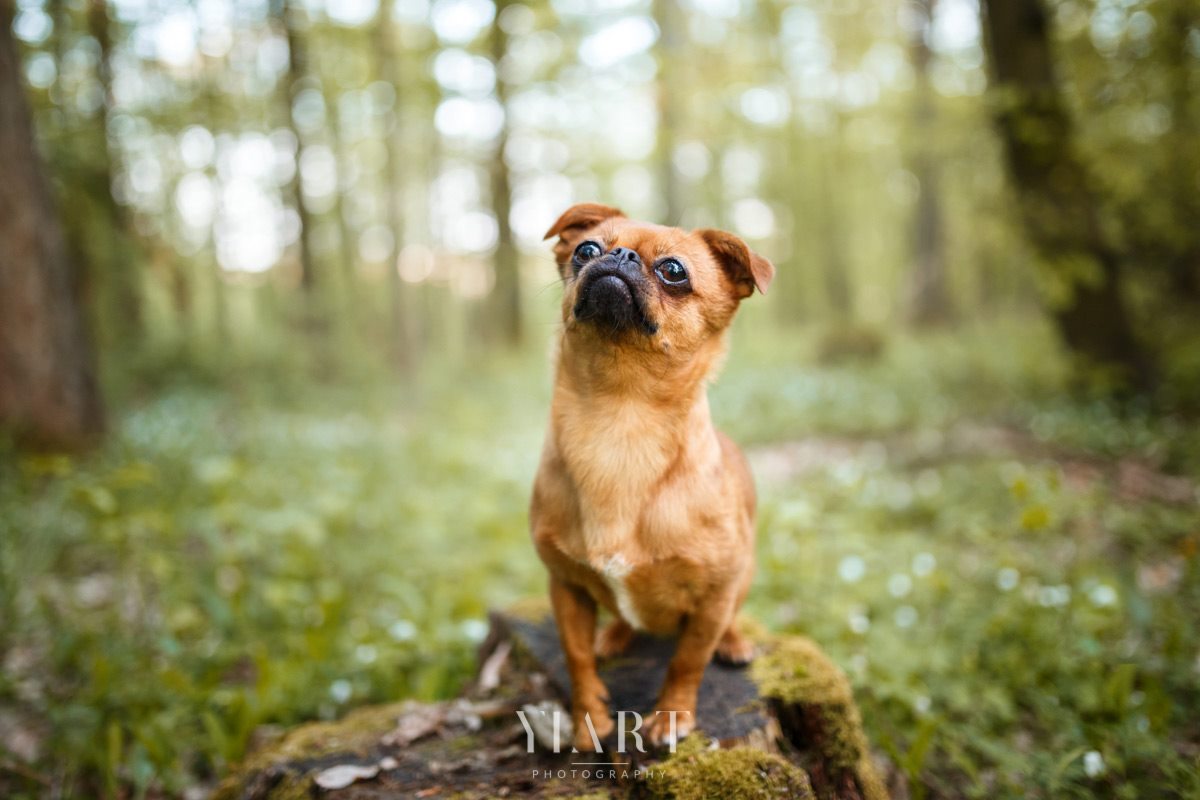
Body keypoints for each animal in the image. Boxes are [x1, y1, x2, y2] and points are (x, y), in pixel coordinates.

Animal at [530, 201, 772, 753]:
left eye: (674, 270)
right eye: (586, 249)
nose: (618, 255)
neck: (620, 423)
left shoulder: (712, 596)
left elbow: (687, 659)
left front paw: (671, 717)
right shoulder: (565, 587)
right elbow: (576, 658)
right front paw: (589, 719)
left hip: (741, 579)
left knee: (726, 623)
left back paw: (733, 643)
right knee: (620, 619)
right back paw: (615, 635)